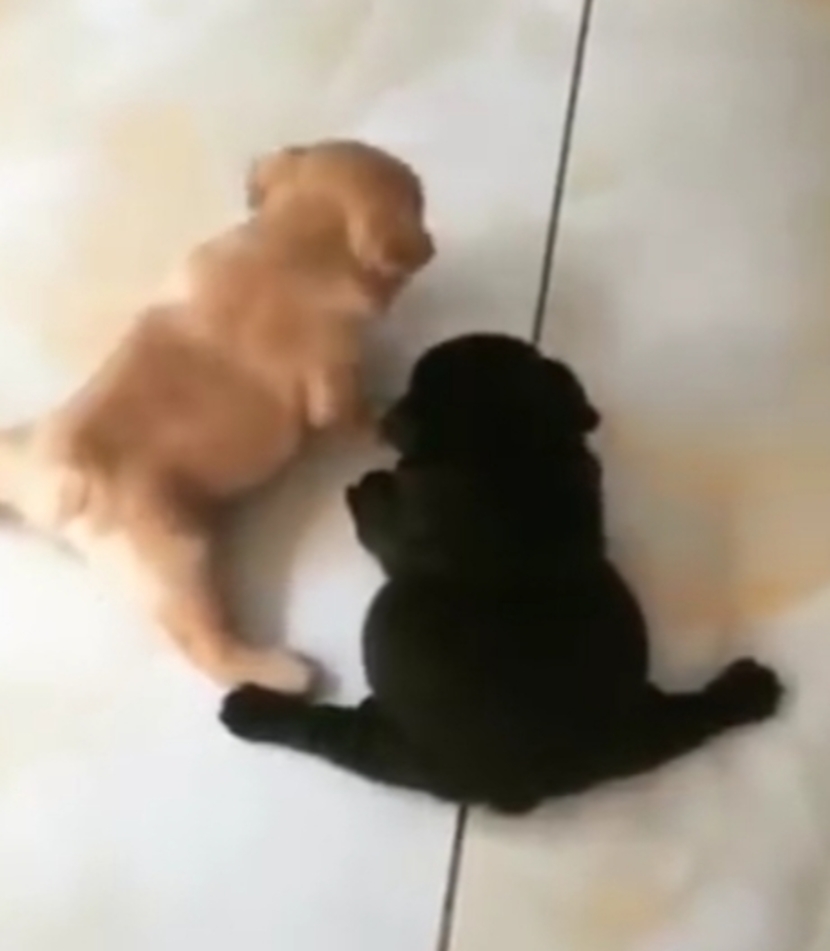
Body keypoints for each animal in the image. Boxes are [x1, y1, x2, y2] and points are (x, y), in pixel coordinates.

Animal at [0, 140, 433, 693]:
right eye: (419, 201)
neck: (287, 244)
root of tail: (45, 476)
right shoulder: (333, 381)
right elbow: (353, 412)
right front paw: (384, 417)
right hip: (178, 557)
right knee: (207, 648)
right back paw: (285, 673)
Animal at [220, 334, 783, 810]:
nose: (388, 410)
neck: (510, 441)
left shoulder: (405, 519)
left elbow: (378, 516)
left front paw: (369, 484)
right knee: (699, 717)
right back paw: (749, 690)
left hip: (377, 741)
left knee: (320, 731)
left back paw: (247, 710)